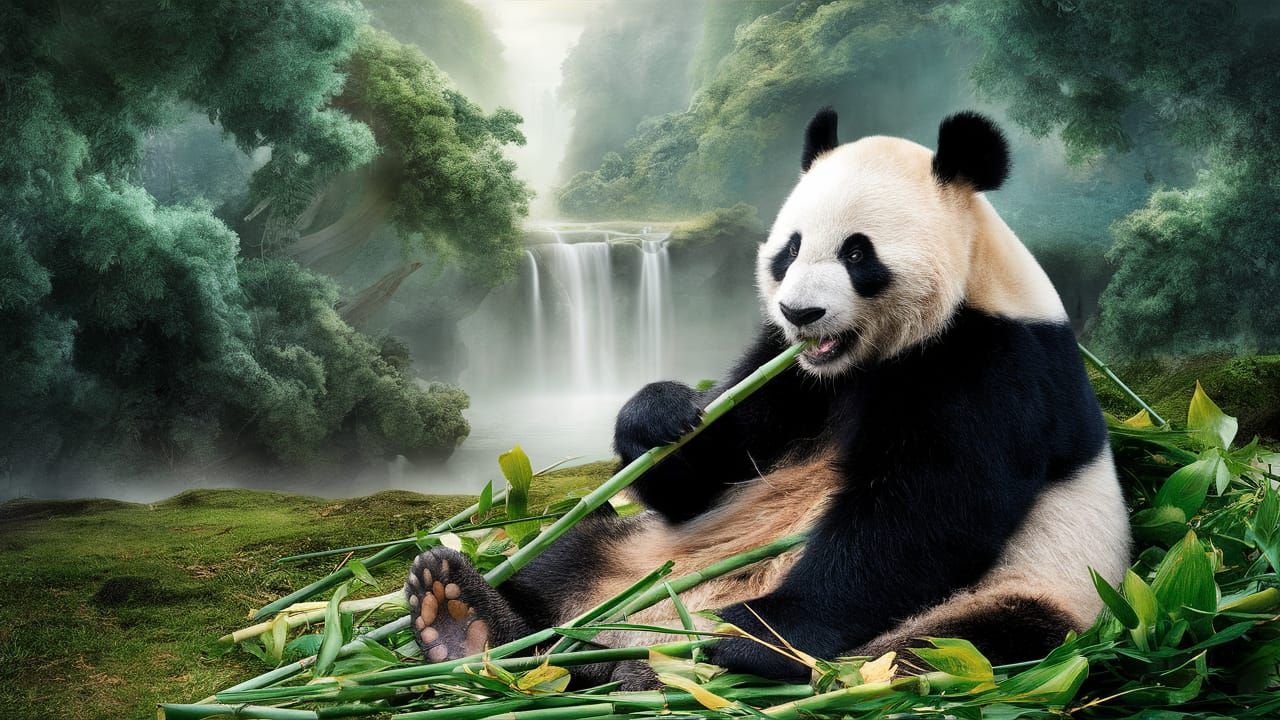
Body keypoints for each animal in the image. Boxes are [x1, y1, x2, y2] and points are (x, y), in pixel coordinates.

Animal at [404, 109, 1132, 687]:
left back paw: (689, 663)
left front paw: (758, 634)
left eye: (858, 254)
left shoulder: (994, 364)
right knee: (564, 559)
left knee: (964, 645)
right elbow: (718, 460)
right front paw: (661, 415)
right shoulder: (789, 369)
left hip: (1027, 595)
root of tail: (643, 632)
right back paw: (466, 615)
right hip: (644, 557)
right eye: (791, 248)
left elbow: (924, 512)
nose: (801, 312)